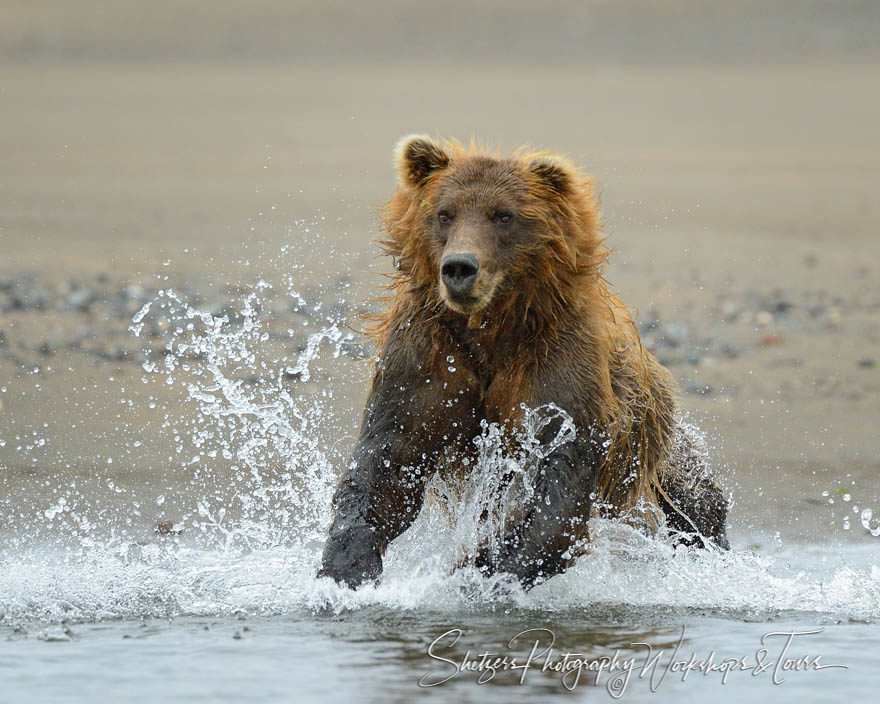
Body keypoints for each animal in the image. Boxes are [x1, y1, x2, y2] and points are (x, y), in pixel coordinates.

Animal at [316, 136, 728, 588]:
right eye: (444, 213)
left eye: (503, 215)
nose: (459, 267)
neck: (491, 328)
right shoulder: (430, 355)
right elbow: (391, 457)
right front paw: (346, 567)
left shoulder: (556, 363)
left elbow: (557, 479)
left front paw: (485, 567)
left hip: (651, 448)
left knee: (695, 501)